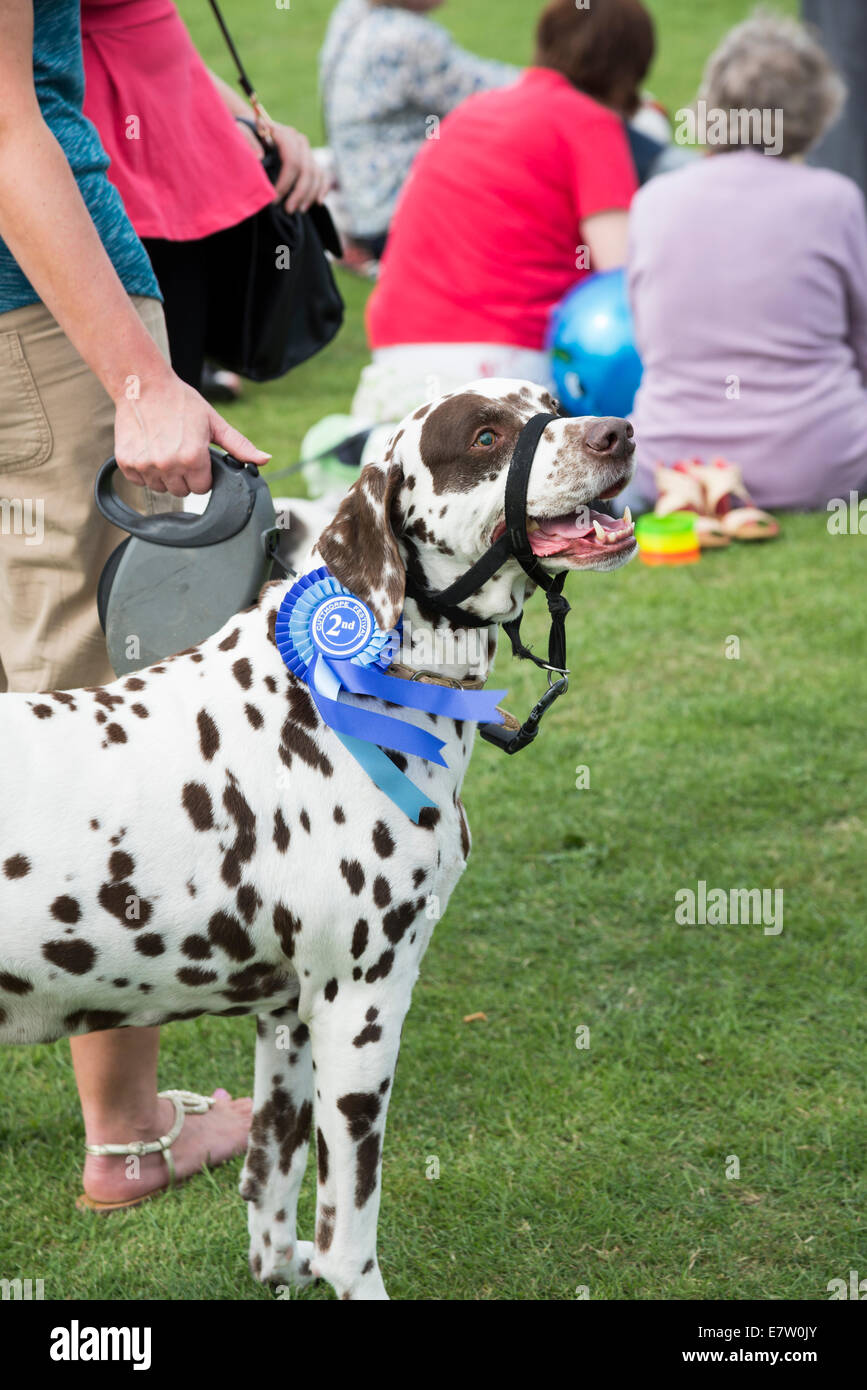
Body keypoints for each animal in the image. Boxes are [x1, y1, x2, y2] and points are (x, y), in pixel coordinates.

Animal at [0, 380, 636, 1301]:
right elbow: (348, 1235)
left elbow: (272, 1184)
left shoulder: (287, 1022)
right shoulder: (360, 1012)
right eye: (483, 435)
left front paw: (279, 1264)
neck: (356, 681)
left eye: (550, 400)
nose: (618, 433)